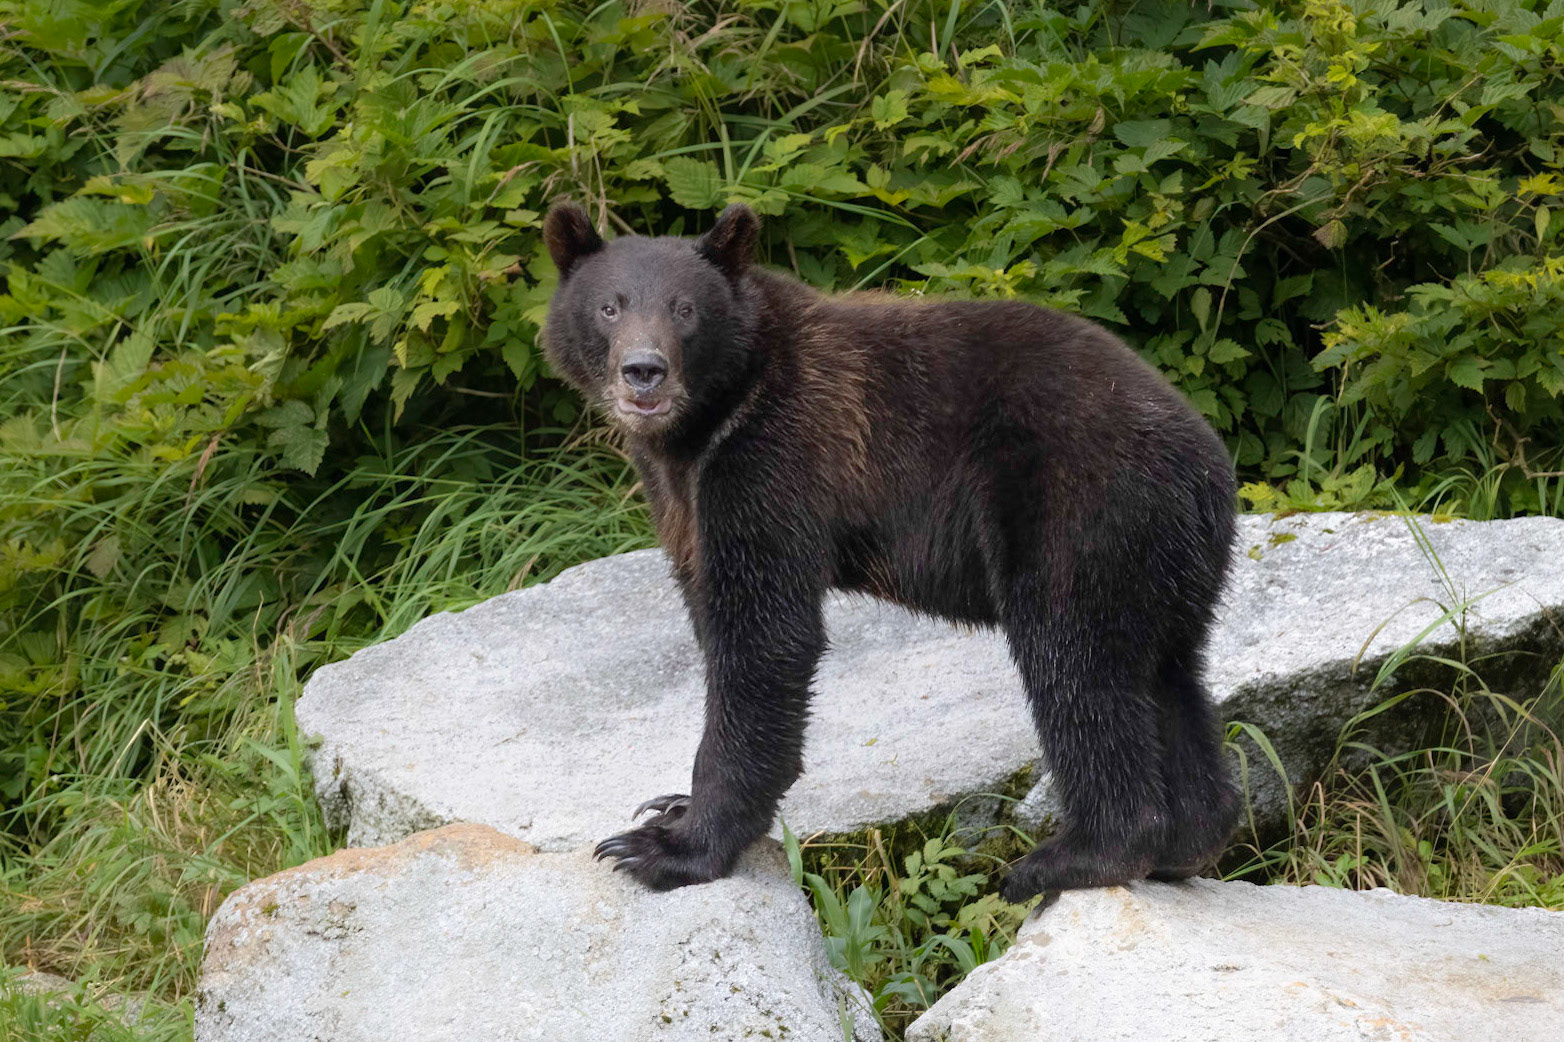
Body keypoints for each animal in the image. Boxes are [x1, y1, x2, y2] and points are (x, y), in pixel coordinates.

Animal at [540, 201, 1238, 901]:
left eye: (685, 309)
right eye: (609, 306)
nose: (643, 371)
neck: (707, 422)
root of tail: (1206, 466)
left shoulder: (776, 459)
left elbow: (764, 637)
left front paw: (668, 844)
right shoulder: (685, 501)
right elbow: (712, 607)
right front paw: (669, 806)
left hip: (1076, 508)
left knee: (1075, 662)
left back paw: (1074, 856)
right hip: (1166, 561)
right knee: (1168, 675)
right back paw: (1189, 842)